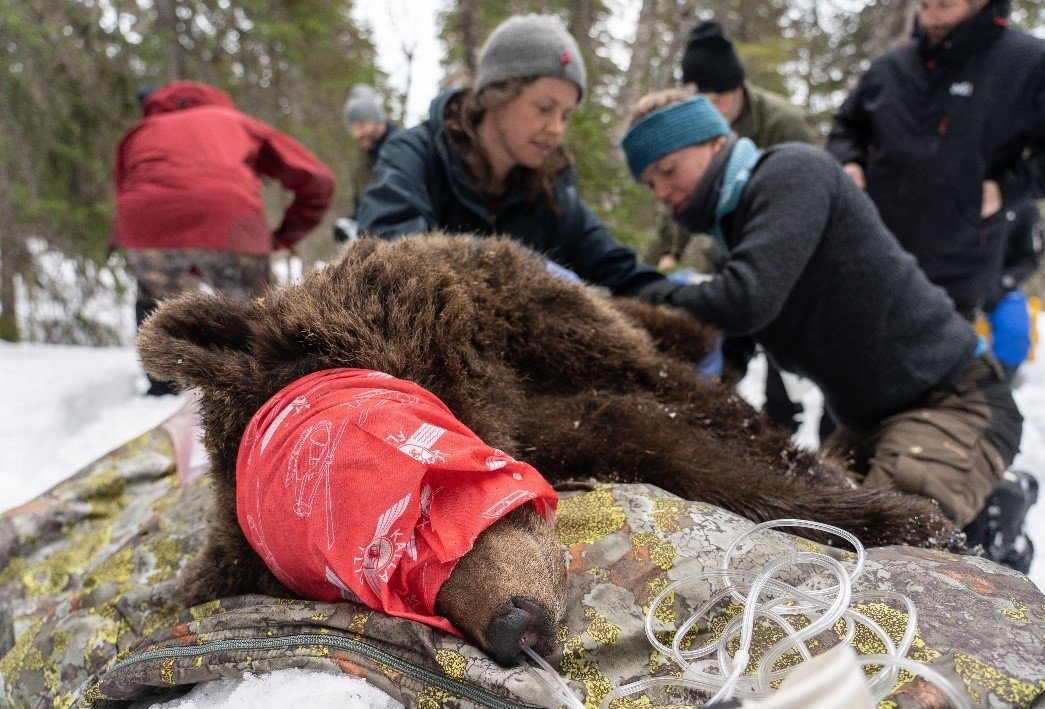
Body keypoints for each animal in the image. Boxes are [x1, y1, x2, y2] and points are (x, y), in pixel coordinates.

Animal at [137, 233, 961, 667]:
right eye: (354, 591)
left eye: (401, 507)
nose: (513, 629)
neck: (482, 379)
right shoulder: (561, 427)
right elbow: (661, 443)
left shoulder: (541, 327)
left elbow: (693, 409)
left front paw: (903, 515)